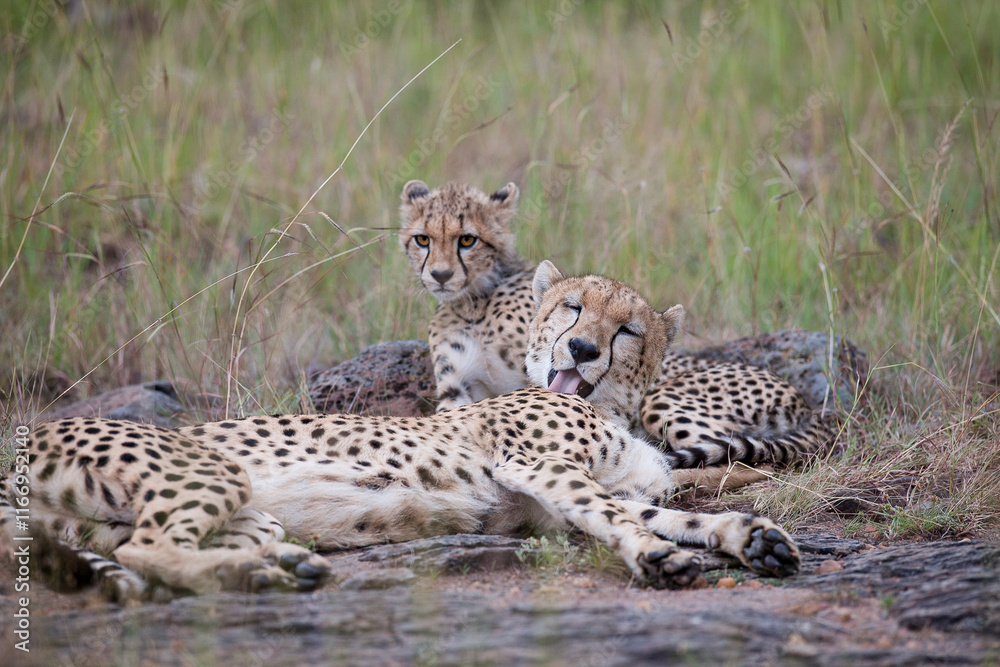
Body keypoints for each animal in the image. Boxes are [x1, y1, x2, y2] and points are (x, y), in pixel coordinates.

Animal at [1, 261, 800, 598]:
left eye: (627, 329)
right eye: (572, 309)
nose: (579, 350)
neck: (609, 408)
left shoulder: (571, 497)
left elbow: (668, 511)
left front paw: (749, 538)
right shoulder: (539, 468)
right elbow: (620, 516)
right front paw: (656, 557)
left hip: (228, 512)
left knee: (142, 545)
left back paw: (282, 565)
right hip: (205, 472)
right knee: (148, 546)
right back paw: (255, 576)